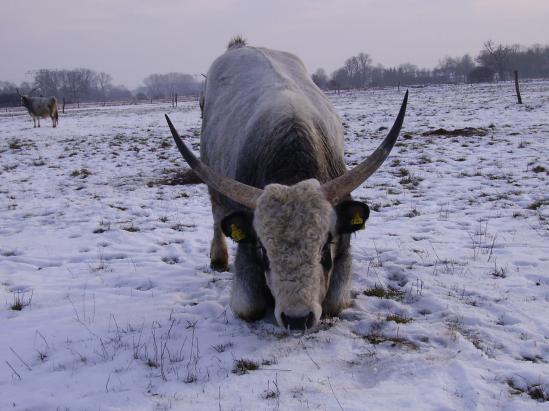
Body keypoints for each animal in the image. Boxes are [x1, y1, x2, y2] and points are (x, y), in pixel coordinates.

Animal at [167, 40, 406, 332]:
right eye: (264, 251)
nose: (297, 319)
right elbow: (248, 306)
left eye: (325, 247)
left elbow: (336, 303)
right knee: (216, 213)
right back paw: (218, 258)